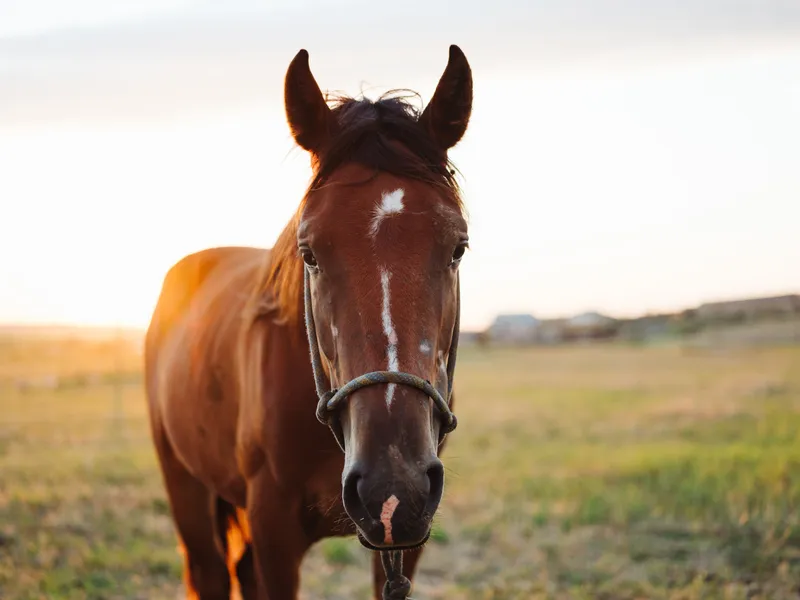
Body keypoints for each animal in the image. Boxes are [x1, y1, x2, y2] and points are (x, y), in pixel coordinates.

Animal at [144, 44, 473, 600]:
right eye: (310, 252)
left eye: (457, 247)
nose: (392, 486)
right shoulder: (273, 526)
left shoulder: (406, 537)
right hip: (184, 485)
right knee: (211, 572)